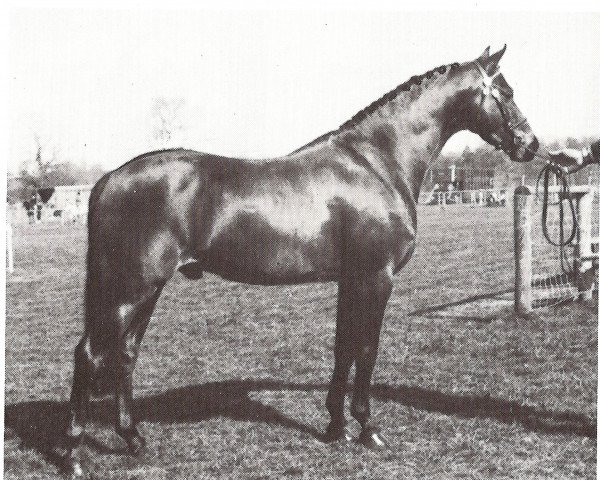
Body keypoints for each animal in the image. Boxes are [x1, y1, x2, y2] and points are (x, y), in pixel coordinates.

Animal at [62, 46, 540, 476]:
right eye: (507, 91)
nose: (530, 145)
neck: (376, 164)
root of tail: (108, 180)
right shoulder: (376, 277)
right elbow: (366, 349)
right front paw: (368, 429)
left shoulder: (351, 279)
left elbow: (343, 347)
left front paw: (335, 427)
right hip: (129, 289)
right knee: (89, 355)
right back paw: (73, 455)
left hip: (145, 291)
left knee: (125, 354)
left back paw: (134, 440)